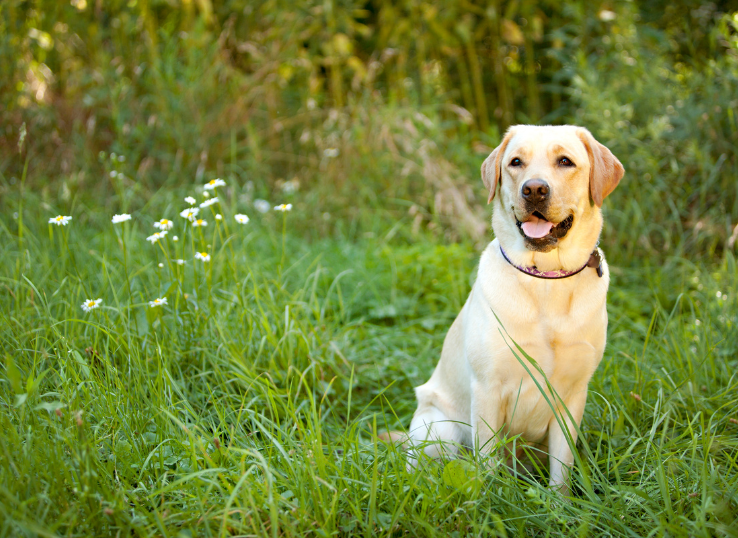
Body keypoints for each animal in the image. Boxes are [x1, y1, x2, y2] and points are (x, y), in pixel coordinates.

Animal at [402, 122, 620, 490]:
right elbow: (488, 462)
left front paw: (560, 502)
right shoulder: (488, 389)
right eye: (516, 162)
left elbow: (562, 469)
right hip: (439, 429)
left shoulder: (573, 396)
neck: (545, 279)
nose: (534, 190)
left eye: (565, 161)